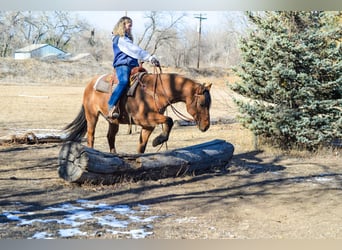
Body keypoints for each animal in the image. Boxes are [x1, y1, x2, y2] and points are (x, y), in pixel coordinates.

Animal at [61, 65, 211, 153]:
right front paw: (158, 141)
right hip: (92, 115)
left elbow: (141, 146)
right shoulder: (144, 118)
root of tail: (90, 84)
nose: (206, 126)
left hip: (113, 121)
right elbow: (169, 119)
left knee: (110, 137)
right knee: (91, 136)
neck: (156, 91)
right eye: (202, 104)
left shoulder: (148, 125)